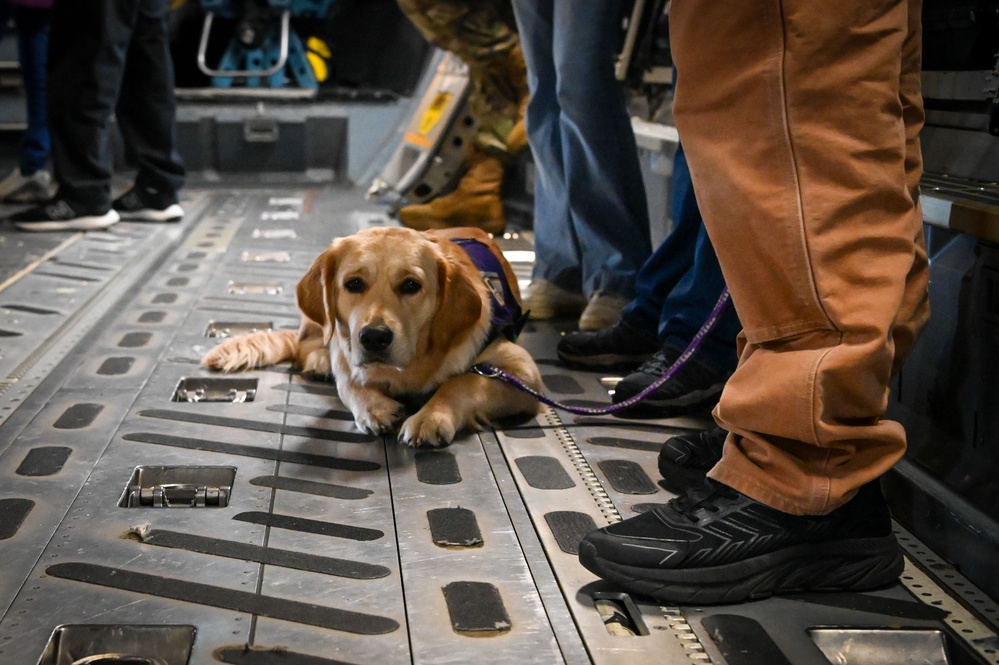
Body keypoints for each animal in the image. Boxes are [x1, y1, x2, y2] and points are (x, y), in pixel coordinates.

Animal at [203, 224, 544, 446]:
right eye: (354, 283)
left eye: (411, 285)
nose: (374, 337)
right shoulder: (345, 347)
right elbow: (347, 381)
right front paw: (374, 407)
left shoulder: (521, 373)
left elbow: (462, 381)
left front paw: (430, 416)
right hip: (319, 323)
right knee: (307, 344)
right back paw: (318, 361)